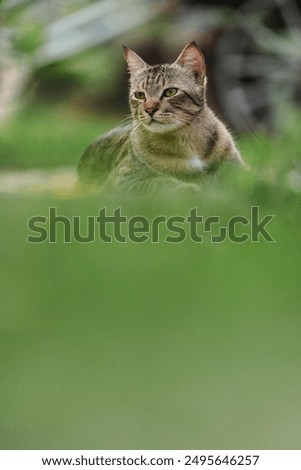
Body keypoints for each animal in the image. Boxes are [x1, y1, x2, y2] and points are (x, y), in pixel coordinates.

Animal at [77, 42, 244, 192]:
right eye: (139, 95)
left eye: (170, 92)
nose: (149, 109)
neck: (187, 141)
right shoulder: (122, 180)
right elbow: (161, 182)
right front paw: (190, 187)